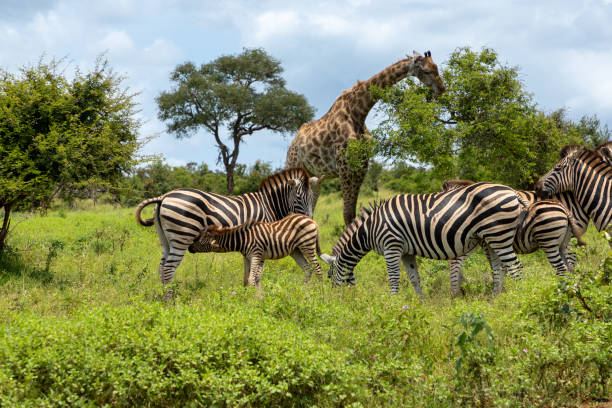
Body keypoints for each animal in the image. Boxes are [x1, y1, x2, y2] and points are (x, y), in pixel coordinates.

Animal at [191, 214, 334, 290]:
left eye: (201, 241)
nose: (190, 248)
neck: (243, 239)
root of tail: (311, 219)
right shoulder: (248, 257)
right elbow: (248, 278)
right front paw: (254, 295)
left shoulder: (255, 254)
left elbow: (251, 278)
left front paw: (251, 300)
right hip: (296, 250)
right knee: (307, 269)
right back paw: (304, 290)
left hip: (307, 245)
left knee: (317, 267)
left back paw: (320, 292)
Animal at [286, 50, 444, 226]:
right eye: (426, 71)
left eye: (436, 68)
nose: (442, 89)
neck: (359, 113)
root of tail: (292, 144)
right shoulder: (345, 167)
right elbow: (347, 214)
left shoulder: (361, 167)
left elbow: (352, 213)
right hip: (293, 166)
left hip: (315, 177)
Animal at [326, 183, 524, 294]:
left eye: (329, 277)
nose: (336, 300)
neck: (370, 228)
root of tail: (512, 192)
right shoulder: (406, 252)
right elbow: (414, 278)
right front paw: (419, 303)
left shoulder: (391, 247)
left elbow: (394, 279)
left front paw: (392, 304)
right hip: (491, 239)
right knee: (499, 270)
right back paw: (495, 299)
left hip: (499, 235)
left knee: (515, 268)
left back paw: (519, 300)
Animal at [442, 179, 584, 296]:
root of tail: (564, 209)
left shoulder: (489, 244)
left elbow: (495, 267)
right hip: (563, 242)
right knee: (569, 266)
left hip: (549, 240)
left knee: (562, 268)